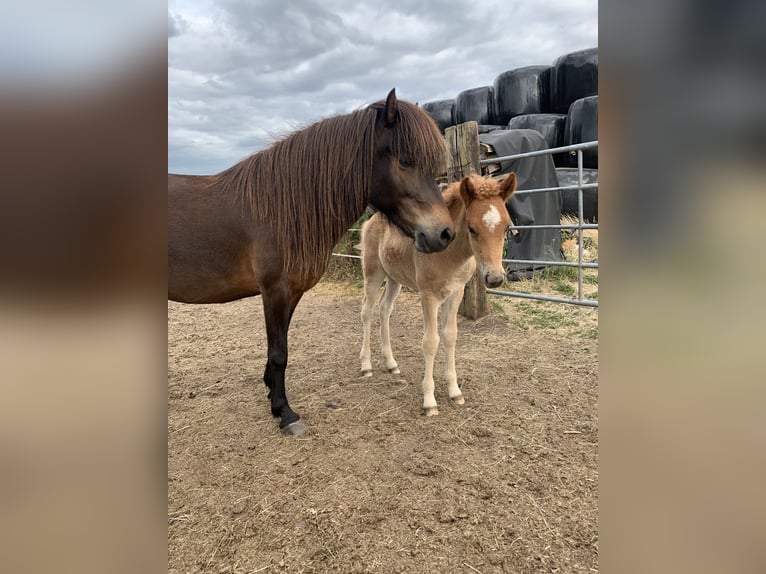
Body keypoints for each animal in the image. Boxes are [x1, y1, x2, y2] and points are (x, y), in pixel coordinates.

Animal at [170, 90, 456, 436]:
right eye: (405, 161)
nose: (444, 234)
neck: (277, 210)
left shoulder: (292, 292)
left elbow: (278, 345)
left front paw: (271, 393)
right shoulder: (275, 290)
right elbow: (279, 352)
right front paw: (285, 413)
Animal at [358, 173, 516, 416]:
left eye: (507, 227)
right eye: (472, 228)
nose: (495, 278)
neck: (449, 255)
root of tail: (371, 220)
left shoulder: (456, 293)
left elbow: (450, 336)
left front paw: (455, 391)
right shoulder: (428, 296)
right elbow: (431, 341)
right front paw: (429, 401)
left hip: (394, 278)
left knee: (385, 310)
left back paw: (391, 363)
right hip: (373, 273)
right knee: (367, 311)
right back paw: (366, 366)